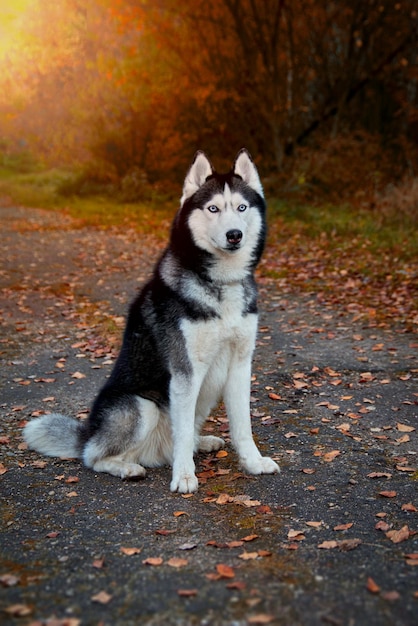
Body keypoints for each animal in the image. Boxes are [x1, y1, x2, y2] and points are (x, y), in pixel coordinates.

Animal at [25, 149, 280, 490]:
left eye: (241, 207)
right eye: (213, 208)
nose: (234, 235)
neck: (220, 282)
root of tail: (88, 433)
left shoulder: (240, 365)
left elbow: (243, 426)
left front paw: (253, 462)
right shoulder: (185, 371)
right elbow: (181, 432)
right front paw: (184, 476)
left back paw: (202, 442)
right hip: (140, 407)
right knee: (94, 457)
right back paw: (127, 467)